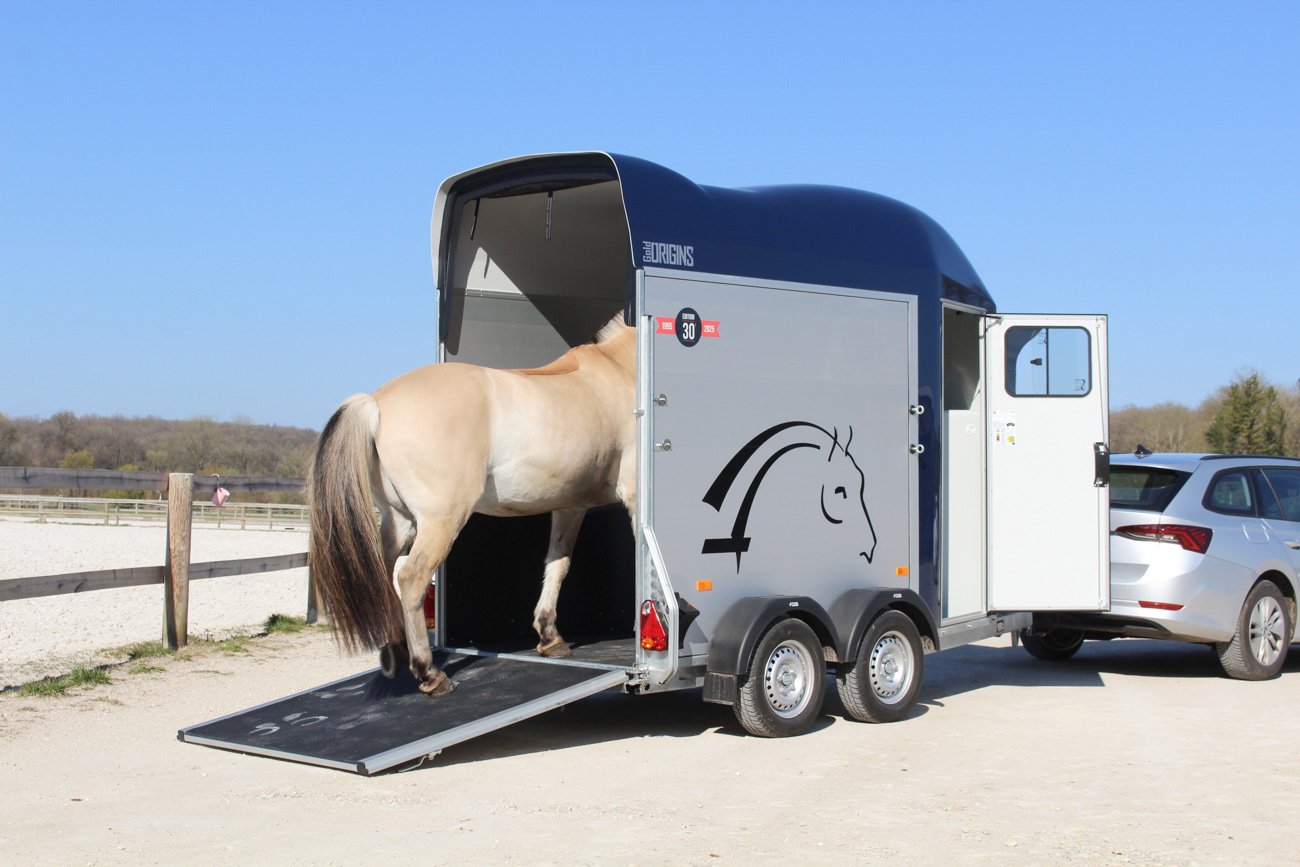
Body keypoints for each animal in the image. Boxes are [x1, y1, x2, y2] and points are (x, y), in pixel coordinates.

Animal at [307, 315, 637, 695]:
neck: (621, 369)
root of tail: (376, 401)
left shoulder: (570, 506)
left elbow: (558, 563)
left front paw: (550, 637)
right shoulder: (634, 495)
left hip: (399, 520)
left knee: (384, 571)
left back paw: (396, 652)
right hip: (439, 521)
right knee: (411, 578)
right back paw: (429, 673)